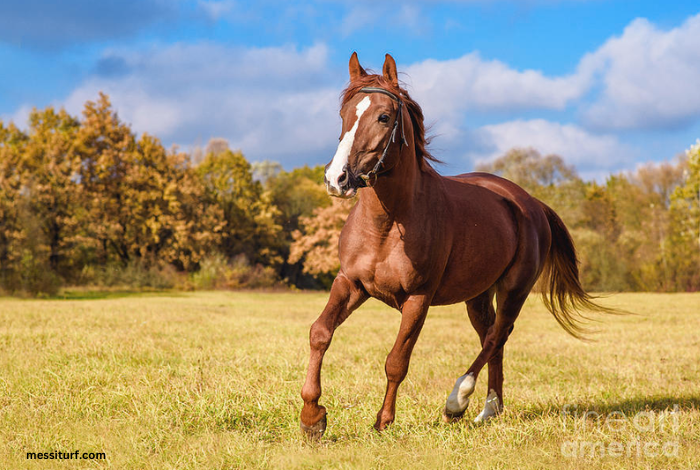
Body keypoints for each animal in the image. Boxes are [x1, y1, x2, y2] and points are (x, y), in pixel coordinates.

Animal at [298, 53, 604, 438]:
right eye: (344, 114)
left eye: (383, 117)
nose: (337, 179)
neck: (388, 225)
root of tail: (531, 202)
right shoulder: (350, 283)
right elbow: (320, 333)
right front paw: (312, 417)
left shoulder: (418, 299)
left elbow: (397, 360)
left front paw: (383, 421)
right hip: (478, 297)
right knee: (494, 338)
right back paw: (489, 410)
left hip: (514, 290)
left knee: (496, 337)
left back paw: (458, 401)